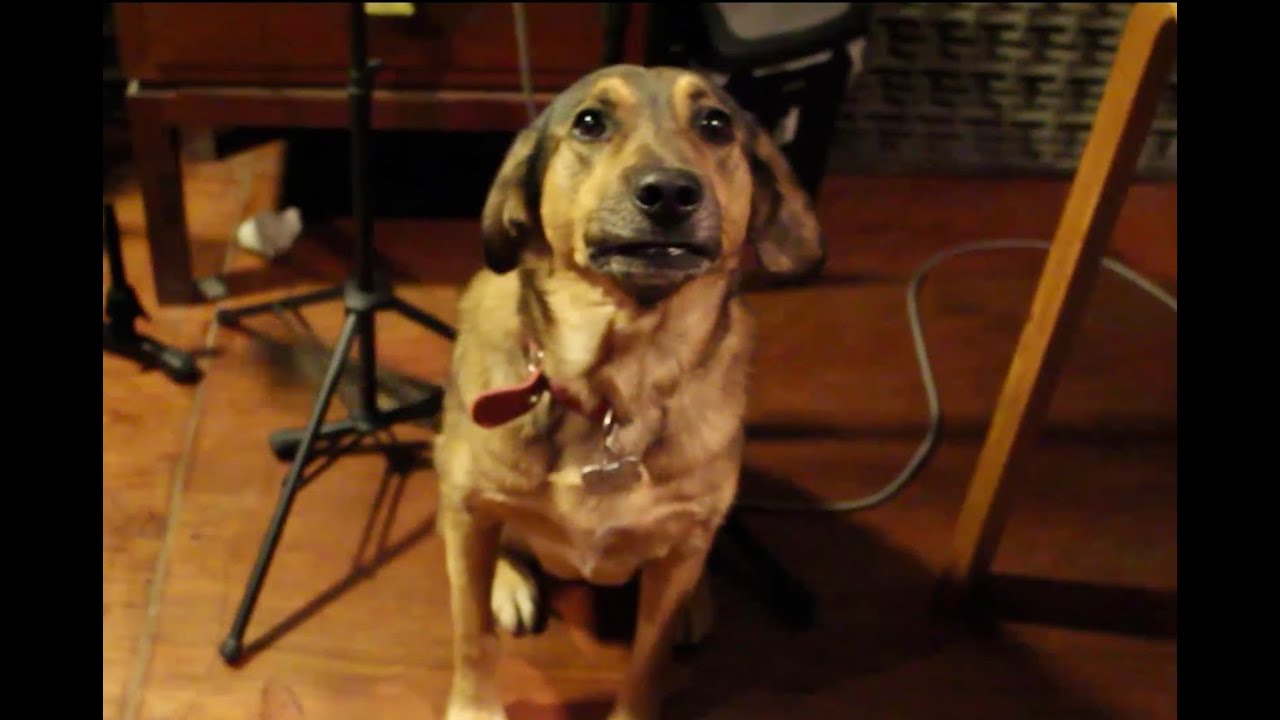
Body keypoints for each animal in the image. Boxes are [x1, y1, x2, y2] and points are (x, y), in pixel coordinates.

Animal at [434, 64, 825, 720]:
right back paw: (509, 582)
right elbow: (470, 637)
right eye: (591, 122)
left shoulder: (680, 545)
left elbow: (648, 661)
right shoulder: (467, 513)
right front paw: (474, 707)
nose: (669, 192)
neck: (616, 385)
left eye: (715, 124)